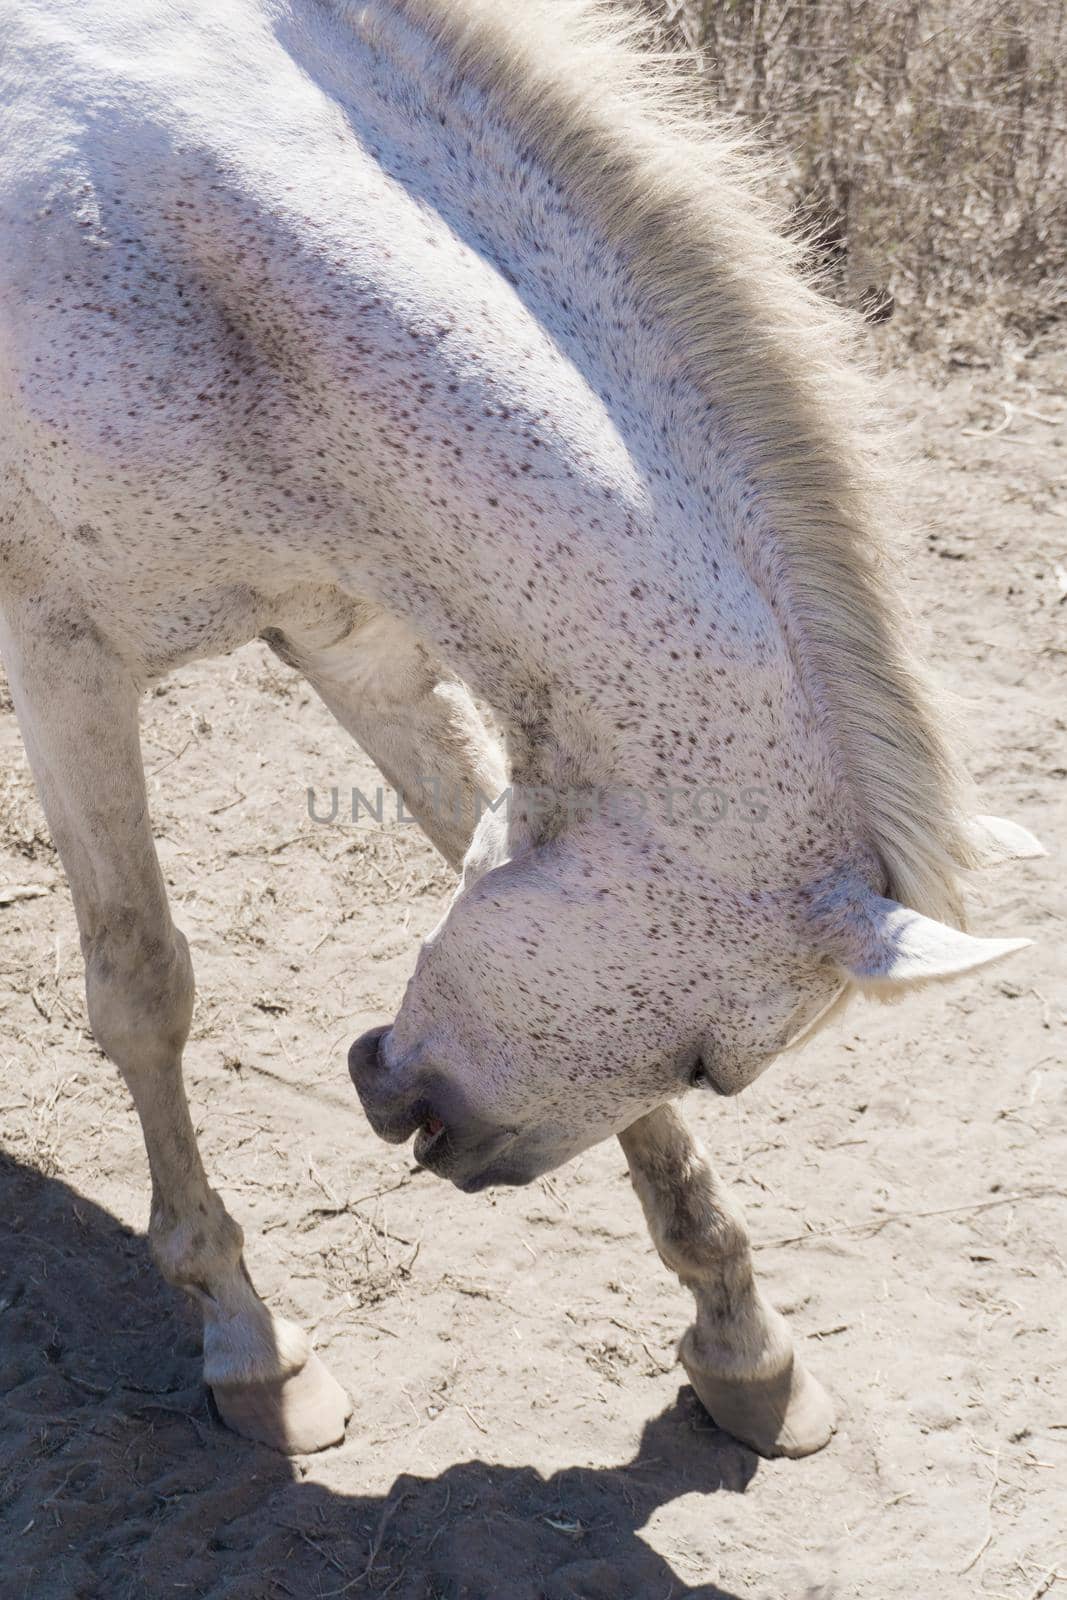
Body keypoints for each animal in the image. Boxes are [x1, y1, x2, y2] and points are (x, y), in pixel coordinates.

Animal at [0, 0, 1043, 1459]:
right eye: (714, 1064)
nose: (429, 1135)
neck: (217, 275)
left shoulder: (354, 638)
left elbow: (463, 843)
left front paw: (743, 1342)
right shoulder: (68, 664)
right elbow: (145, 992)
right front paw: (249, 1343)